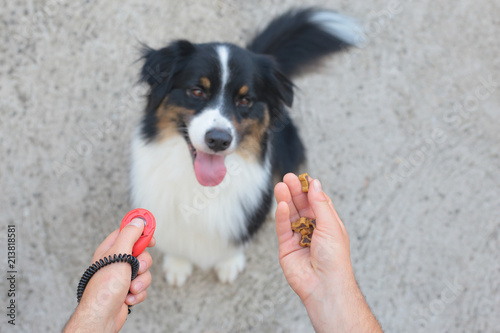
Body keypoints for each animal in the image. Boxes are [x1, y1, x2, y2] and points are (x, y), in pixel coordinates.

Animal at [131, 7, 362, 284]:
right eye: (197, 91)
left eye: (245, 100)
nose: (219, 140)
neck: (201, 186)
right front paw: (178, 264)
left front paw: (228, 262)